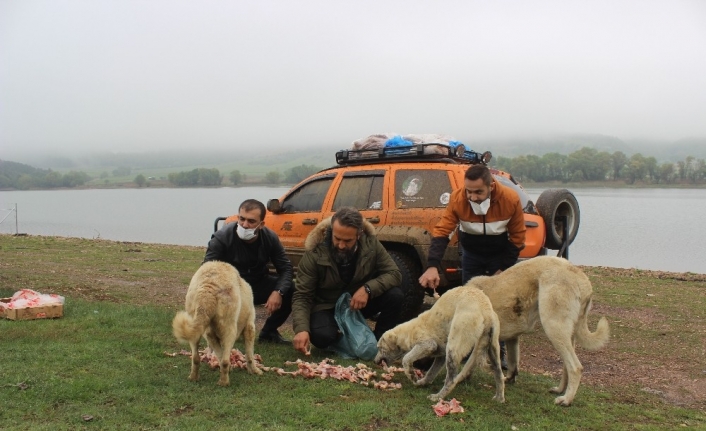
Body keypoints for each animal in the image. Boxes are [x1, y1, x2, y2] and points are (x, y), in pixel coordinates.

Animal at [372, 286, 504, 404]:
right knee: (499, 373)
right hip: (493, 346)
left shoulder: (428, 344)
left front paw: (412, 375)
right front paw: (422, 382)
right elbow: (431, 372)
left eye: (379, 348)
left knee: (451, 379)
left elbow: (406, 358)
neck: (408, 331)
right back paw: (499, 398)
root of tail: (485, 309)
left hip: (454, 344)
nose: (374, 361)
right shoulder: (441, 355)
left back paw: (438, 396)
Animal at [464, 256, 608, 408]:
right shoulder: (512, 338)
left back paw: (566, 399)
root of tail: (582, 279)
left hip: (553, 327)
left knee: (575, 367)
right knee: (566, 365)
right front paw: (509, 378)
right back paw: (560, 390)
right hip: (568, 335)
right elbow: (513, 361)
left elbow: (470, 363)